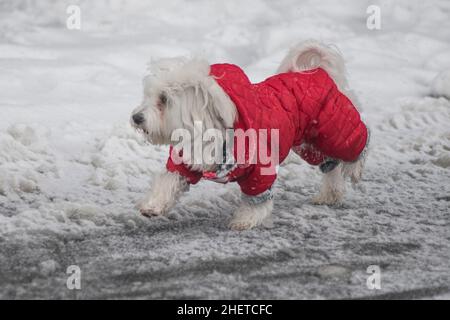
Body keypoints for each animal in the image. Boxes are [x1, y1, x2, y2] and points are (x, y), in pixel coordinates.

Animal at [131, 40, 370, 230]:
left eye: (164, 99)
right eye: (148, 95)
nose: (136, 117)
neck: (208, 131)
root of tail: (319, 72)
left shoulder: (259, 168)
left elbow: (258, 197)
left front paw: (247, 219)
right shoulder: (184, 162)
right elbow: (169, 180)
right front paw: (153, 205)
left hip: (334, 129)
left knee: (358, 141)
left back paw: (356, 166)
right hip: (310, 144)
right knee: (331, 165)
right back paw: (331, 193)